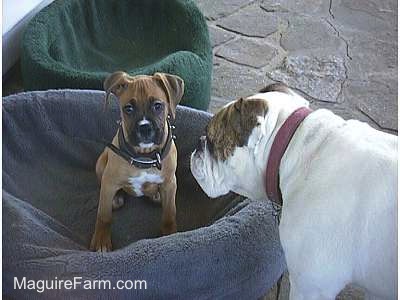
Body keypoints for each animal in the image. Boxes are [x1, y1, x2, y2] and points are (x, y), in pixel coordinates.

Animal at [90, 71, 184, 252]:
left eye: (158, 106)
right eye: (128, 109)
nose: (145, 128)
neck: (145, 156)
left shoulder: (170, 183)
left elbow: (170, 213)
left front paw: (170, 234)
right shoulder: (109, 182)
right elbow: (104, 215)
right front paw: (101, 240)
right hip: (101, 164)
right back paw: (117, 198)